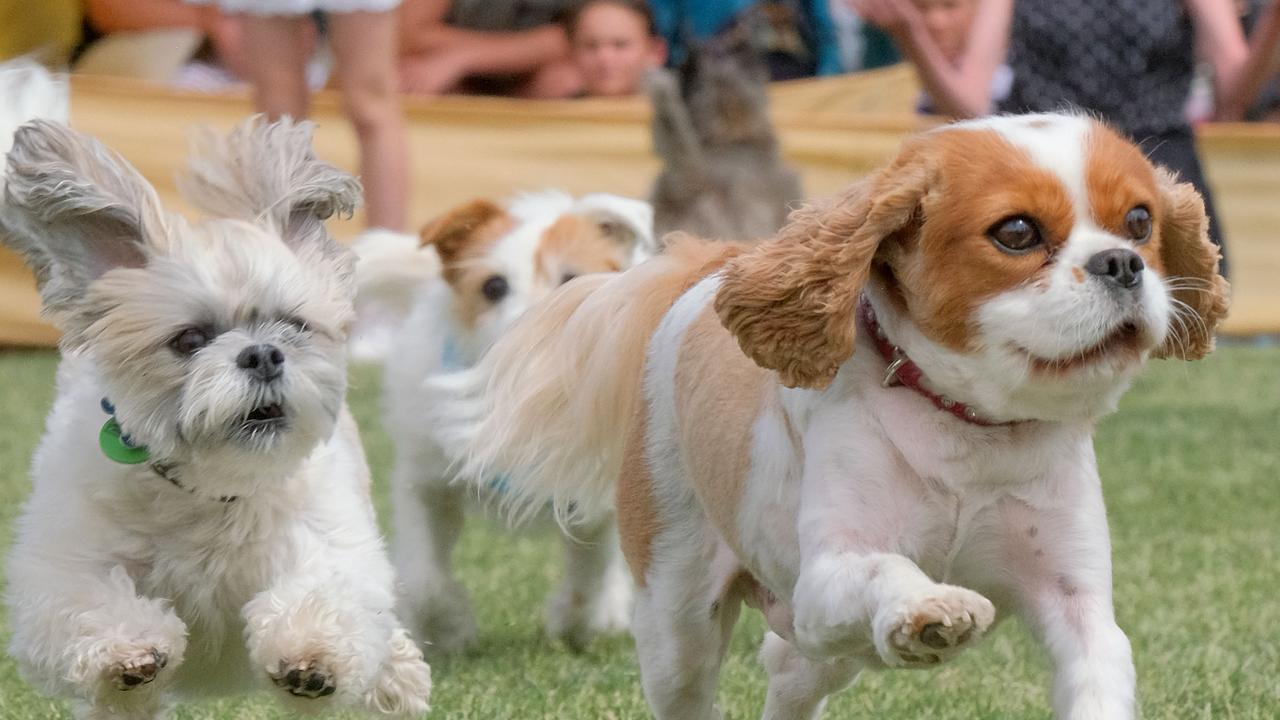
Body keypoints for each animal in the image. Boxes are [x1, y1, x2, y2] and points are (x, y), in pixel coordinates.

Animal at [0, 117, 432, 717]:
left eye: (293, 326)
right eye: (189, 341)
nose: (263, 354)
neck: (210, 489)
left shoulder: (330, 541)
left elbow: (329, 595)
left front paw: (312, 657)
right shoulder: (63, 567)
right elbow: (88, 603)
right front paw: (128, 647)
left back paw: (395, 677)